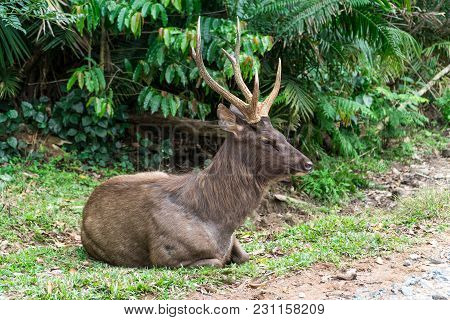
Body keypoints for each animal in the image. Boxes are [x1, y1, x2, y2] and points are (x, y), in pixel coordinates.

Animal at [81, 17, 312, 268]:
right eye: (267, 140)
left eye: (281, 134)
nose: (308, 163)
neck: (220, 223)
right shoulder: (165, 255)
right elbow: (217, 262)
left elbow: (245, 256)